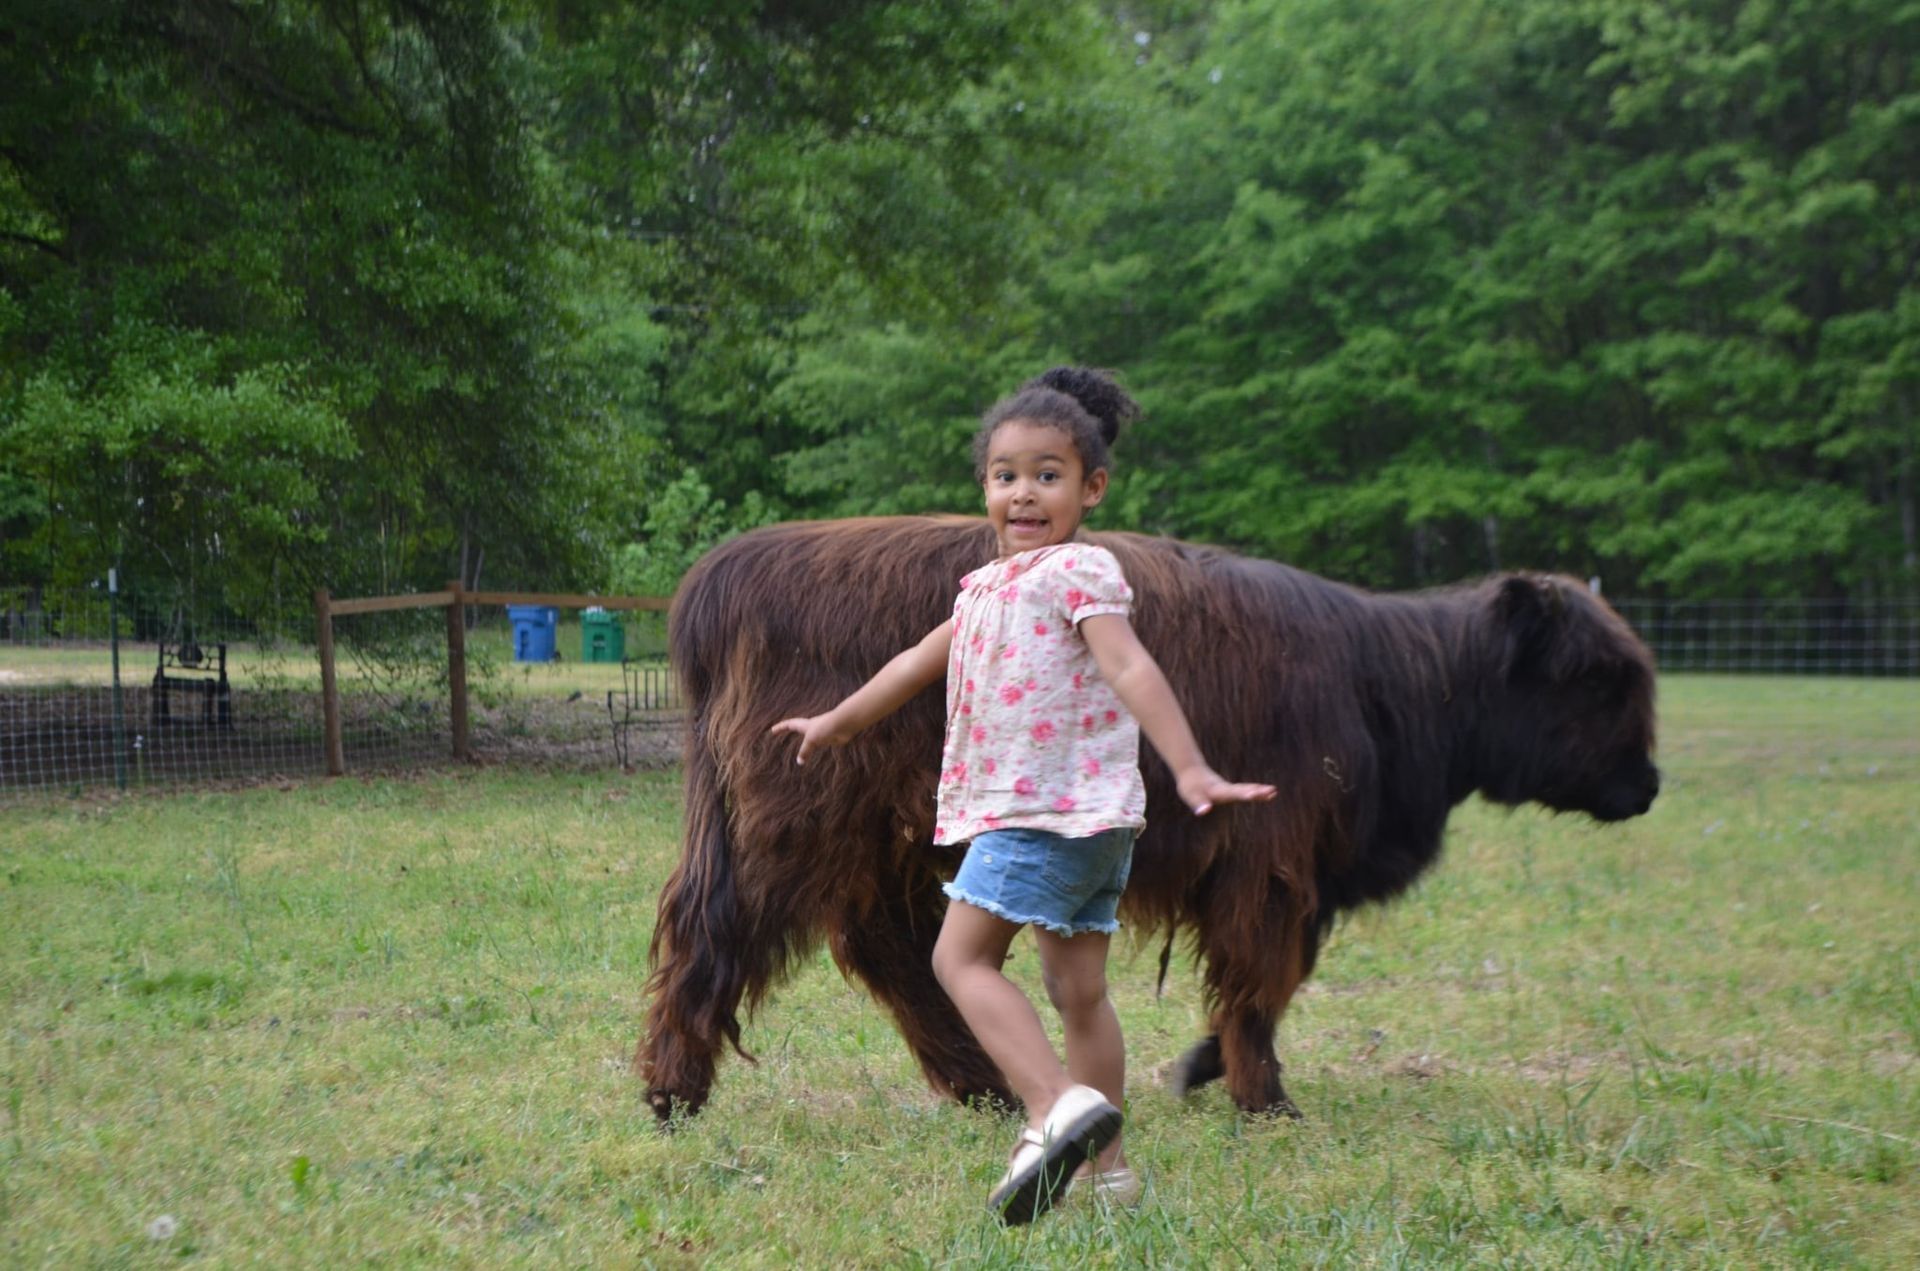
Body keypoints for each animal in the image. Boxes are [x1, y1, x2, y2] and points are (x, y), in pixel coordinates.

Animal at [637, 516, 1658, 1121]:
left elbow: (1274, 976)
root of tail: (728, 570)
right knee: (719, 925)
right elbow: (1262, 975)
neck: (1392, 685)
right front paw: (1261, 1095)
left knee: (890, 946)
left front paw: (1206, 1068)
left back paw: (985, 1086)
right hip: (797, 817)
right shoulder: (1273, 857)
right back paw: (671, 1090)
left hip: (871, 834)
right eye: (1597, 678)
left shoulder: (1293, 868)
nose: (1648, 784)